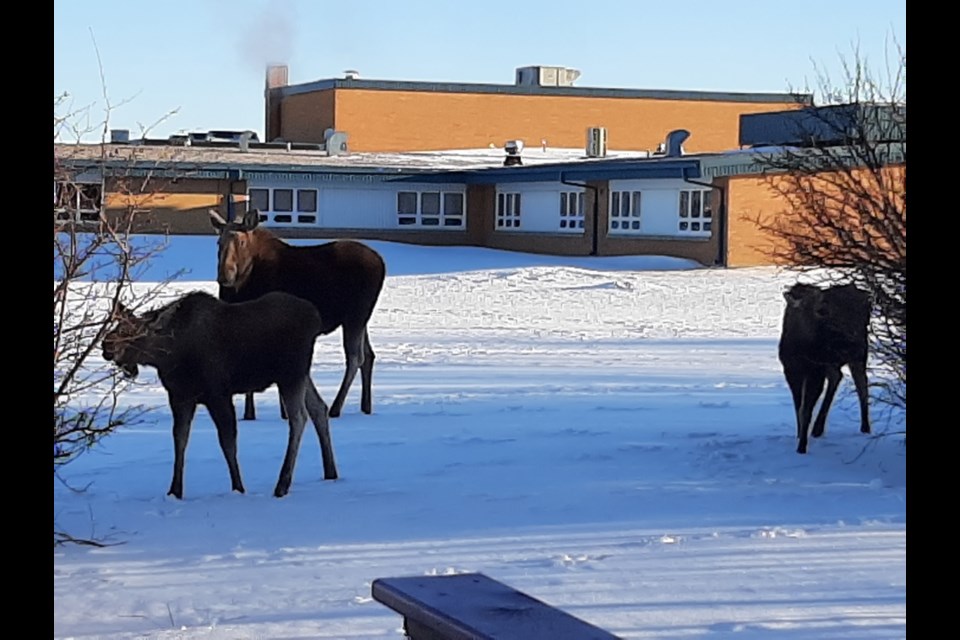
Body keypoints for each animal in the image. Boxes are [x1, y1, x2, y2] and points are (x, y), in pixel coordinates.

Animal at [101, 292, 340, 500]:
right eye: (118, 327)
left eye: (131, 331)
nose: (106, 344)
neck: (170, 355)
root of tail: (316, 318)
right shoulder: (180, 396)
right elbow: (180, 439)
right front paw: (175, 490)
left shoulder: (218, 394)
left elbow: (227, 441)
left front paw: (238, 487)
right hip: (300, 374)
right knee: (319, 408)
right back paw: (330, 472)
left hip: (291, 373)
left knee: (299, 418)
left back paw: (282, 484)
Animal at [210, 208, 386, 422]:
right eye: (219, 242)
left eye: (241, 242)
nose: (224, 275)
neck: (241, 287)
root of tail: (381, 262)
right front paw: (253, 413)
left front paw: (275, 412)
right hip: (361, 318)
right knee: (369, 355)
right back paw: (366, 406)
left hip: (356, 315)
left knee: (355, 357)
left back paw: (336, 408)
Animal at [776, 284, 872, 456]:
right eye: (820, 309)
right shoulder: (791, 371)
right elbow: (798, 406)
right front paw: (800, 435)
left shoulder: (815, 371)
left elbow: (806, 409)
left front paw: (802, 447)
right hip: (833, 362)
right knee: (837, 376)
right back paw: (817, 429)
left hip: (859, 355)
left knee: (862, 385)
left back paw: (865, 428)